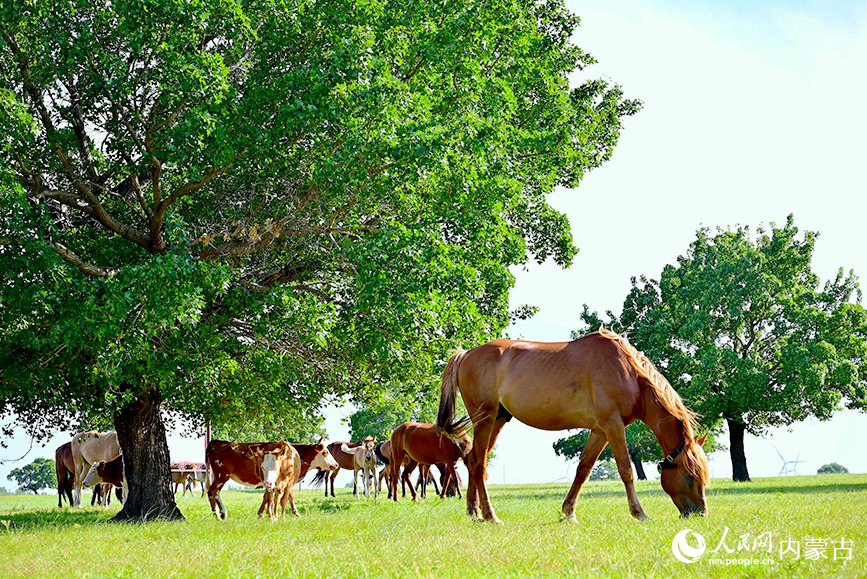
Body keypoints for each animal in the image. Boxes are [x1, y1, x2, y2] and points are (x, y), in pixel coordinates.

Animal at [436, 328, 709, 524]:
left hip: (498, 420)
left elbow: (583, 469)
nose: (700, 514)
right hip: (485, 418)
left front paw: (568, 512)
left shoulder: (600, 430)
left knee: (473, 460)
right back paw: (491, 516)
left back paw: (474, 512)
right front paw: (640, 514)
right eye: (691, 475)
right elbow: (626, 470)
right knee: (479, 464)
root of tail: (465, 354)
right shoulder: (613, 425)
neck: (629, 374)